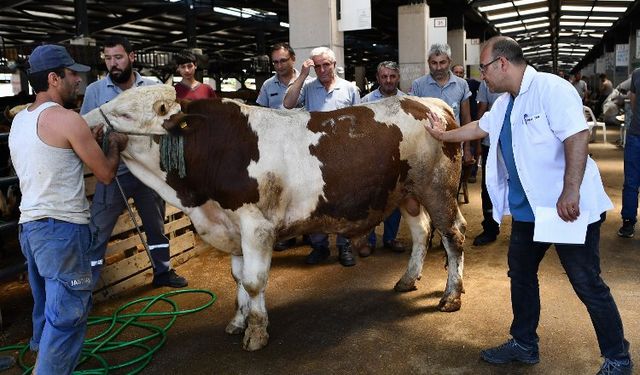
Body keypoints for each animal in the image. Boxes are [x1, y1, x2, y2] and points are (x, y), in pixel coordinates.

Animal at [84, 85, 464, 352]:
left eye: (124, 113)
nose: (83, 123)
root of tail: (430, 103)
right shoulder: (232, 227)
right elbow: (238, 278)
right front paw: (238, 320)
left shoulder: (257, 226)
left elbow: (254, 281)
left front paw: (255, 332)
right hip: (408, 194)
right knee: (421, 231)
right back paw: (408, 279)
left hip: (436, 189)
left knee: (453, 235)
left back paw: (451, 296)